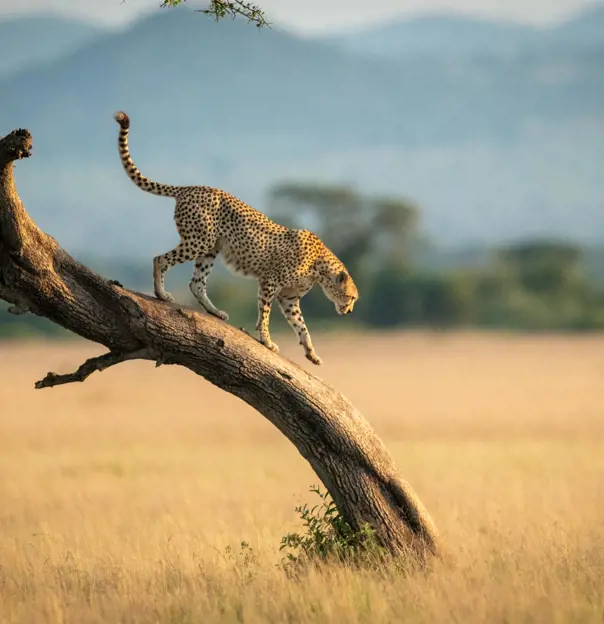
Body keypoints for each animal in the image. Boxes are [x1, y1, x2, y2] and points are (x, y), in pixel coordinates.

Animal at [114, 111, 358, 366]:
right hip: (198, 241)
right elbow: (265, 314)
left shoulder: (289, 298)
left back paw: (214, 311)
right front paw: (266, 340)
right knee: (160, 259)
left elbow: (301, 325)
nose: (349, 311)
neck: (320, 267)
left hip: (210, 248)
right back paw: (161, 294)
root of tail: (191, 187)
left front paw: (311, 352)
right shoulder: (270, 281)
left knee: (196, 283)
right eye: (351, 297)